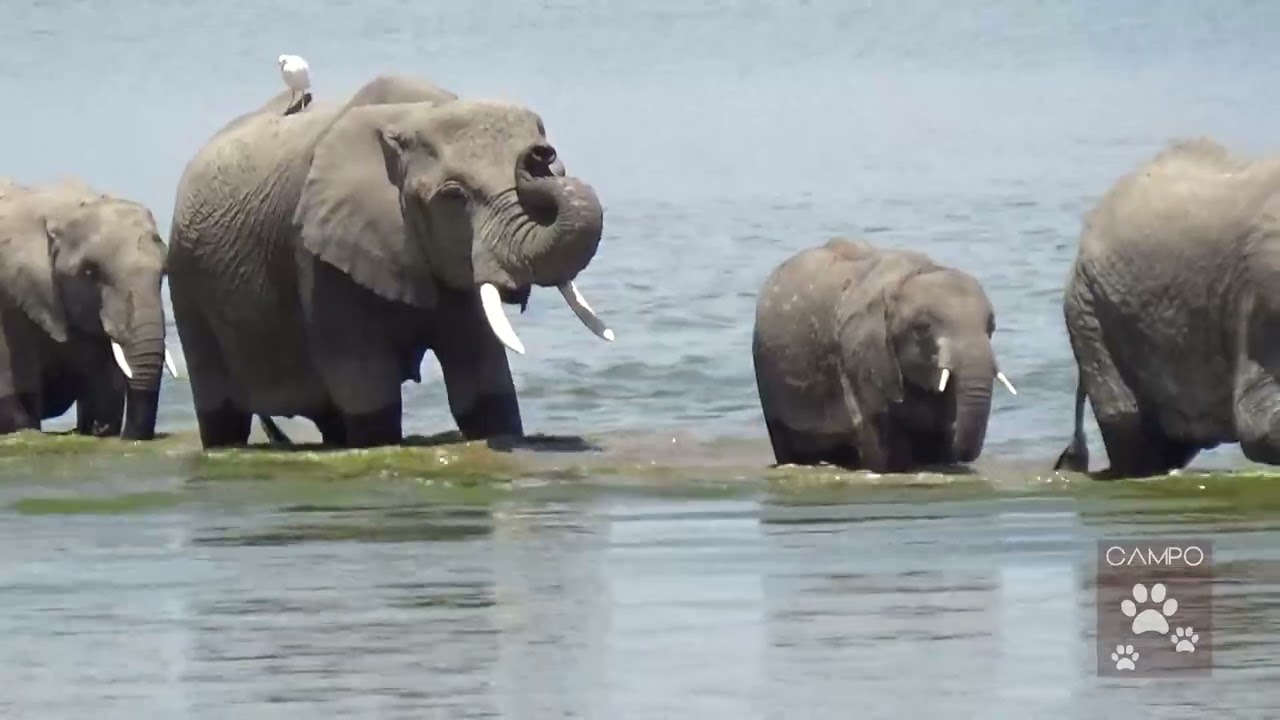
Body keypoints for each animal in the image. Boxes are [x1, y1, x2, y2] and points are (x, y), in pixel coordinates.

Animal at [167, 74, 614, 449]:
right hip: (186, 281)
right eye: (454, 197)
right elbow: (367, 387)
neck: (411, 118)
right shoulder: (316, 254)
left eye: (554, 167)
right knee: (220, 408)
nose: (537, 154)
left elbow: (483, 379)